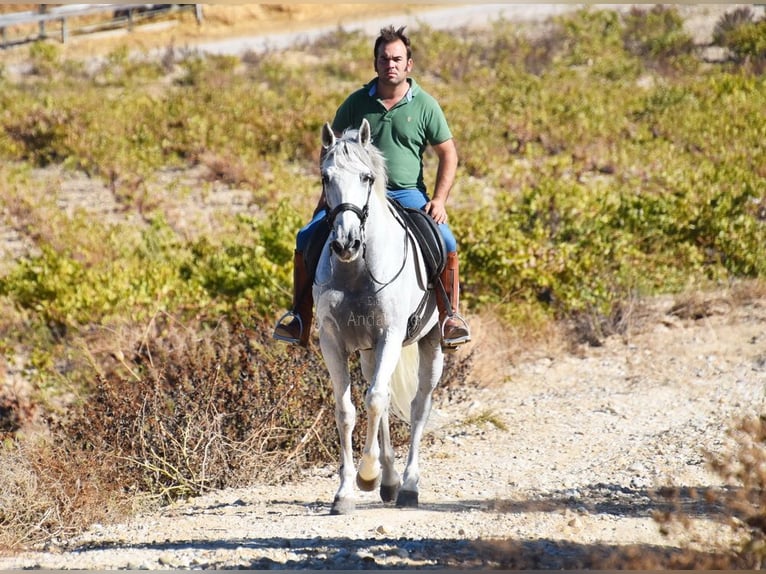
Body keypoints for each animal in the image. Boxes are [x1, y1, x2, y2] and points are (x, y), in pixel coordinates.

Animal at [314, 118, 444, 515]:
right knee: (383, 398)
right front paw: (345, 492)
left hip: (431, 345)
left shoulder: (390, 334)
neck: (356, 269)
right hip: (370, 351)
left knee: (417, 406)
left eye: (366, 177)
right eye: (326, 177)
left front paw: (367, 474)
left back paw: (408, 486)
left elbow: (373, 400)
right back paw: (389, 481)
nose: (346, 243)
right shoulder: (332, 341)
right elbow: (346, 410)